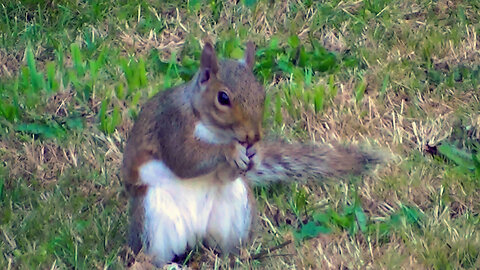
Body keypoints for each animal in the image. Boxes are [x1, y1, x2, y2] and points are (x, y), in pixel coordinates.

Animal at [121, 40, 382, 266]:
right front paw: (231, 151)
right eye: (223, 98)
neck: (214, 130)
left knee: (228, 248)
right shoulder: (171, 125)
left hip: (237, 208)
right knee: (155, 255)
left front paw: (253, 154)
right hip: (152, 218)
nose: (254, 137)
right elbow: (184, 159)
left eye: (261, 94)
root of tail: (196, 234)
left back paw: (238, 258)